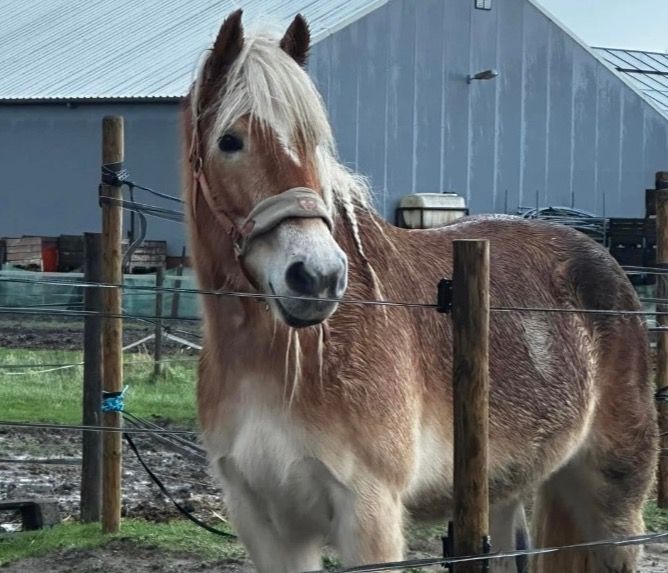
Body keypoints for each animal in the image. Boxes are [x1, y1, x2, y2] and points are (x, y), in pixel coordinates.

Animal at [182, 10, 657, 573]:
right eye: (230, 141)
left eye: (314, 142)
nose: (317, 278)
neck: (296, 357)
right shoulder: (266, 524)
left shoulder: (370, 516)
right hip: (505, 493)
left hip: (612, 502)